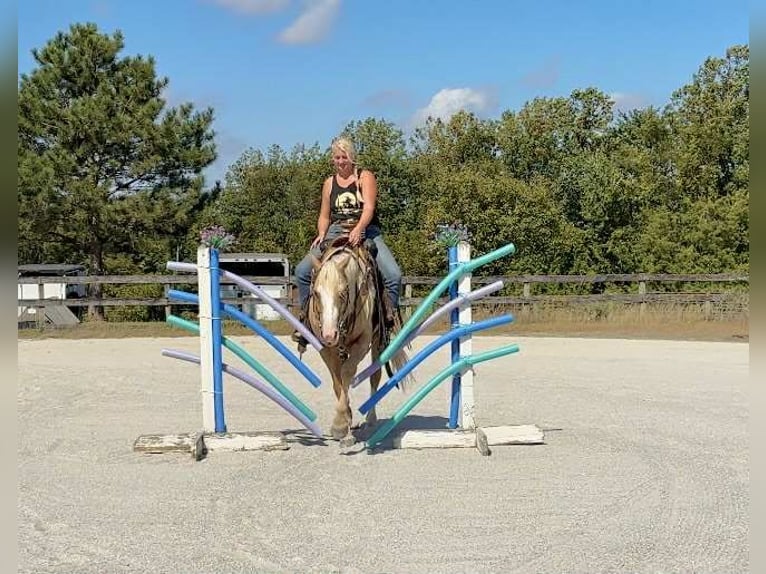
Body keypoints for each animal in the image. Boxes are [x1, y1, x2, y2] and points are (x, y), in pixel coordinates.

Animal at [307, 237, 411, 445]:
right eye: (316, 293)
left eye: (342, 292)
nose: (329, 335)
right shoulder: (326, 349)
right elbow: (337, 381)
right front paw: (346, 419)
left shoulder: (362, 344)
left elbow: (347, 372)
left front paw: (340, 425)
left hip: (378, 342)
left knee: (375, 376)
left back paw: (371, 419)